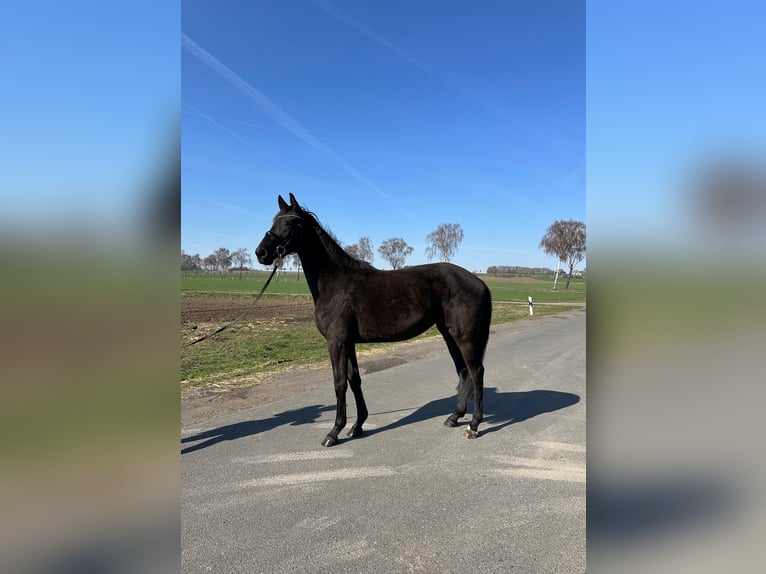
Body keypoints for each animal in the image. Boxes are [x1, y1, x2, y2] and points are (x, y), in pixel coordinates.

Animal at [256, 193, 492, 447]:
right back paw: (454, 417)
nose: (261, 253)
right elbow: (354, 381)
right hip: (448, 333)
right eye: (274, 220)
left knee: (476, 372)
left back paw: (473, 425)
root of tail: (479, 282)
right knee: (463, 371)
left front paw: (333, 432)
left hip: (464, 336)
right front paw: (357, 426)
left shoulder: (337, 342)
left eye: (290, 223)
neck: (333, 282)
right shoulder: (348, 343)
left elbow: (339, 383)